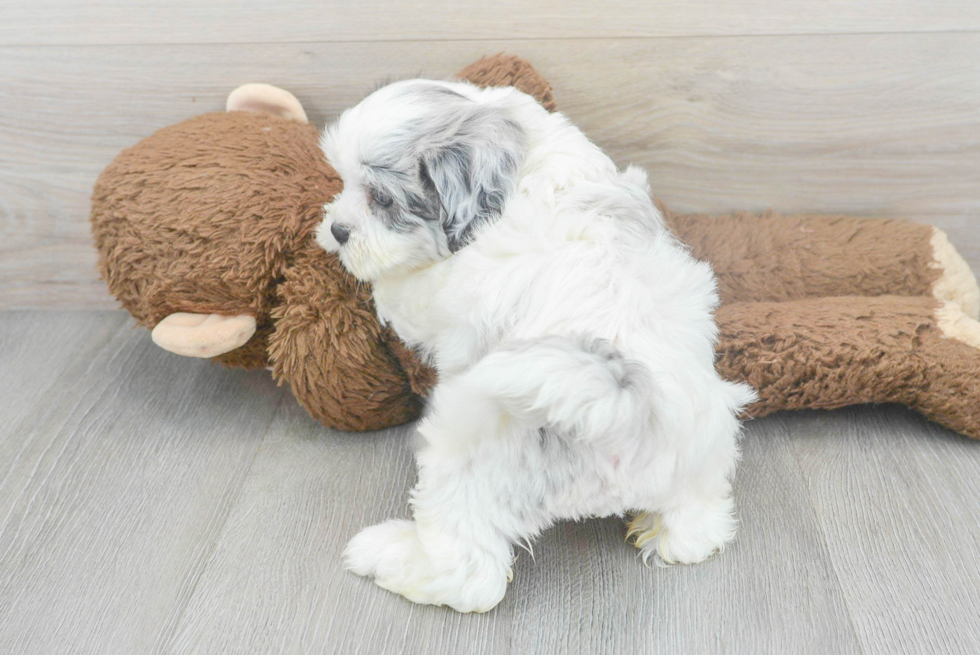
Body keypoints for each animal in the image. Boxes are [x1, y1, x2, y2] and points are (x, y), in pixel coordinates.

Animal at [318, 78, 756, 616]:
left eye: (381, 199)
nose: (338, 230)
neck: (521, 162)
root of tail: (624, 407)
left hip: (470, 465)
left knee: (469, 572)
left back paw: (390, 556)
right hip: (702, 447)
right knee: (698, 522)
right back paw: (670, 534)